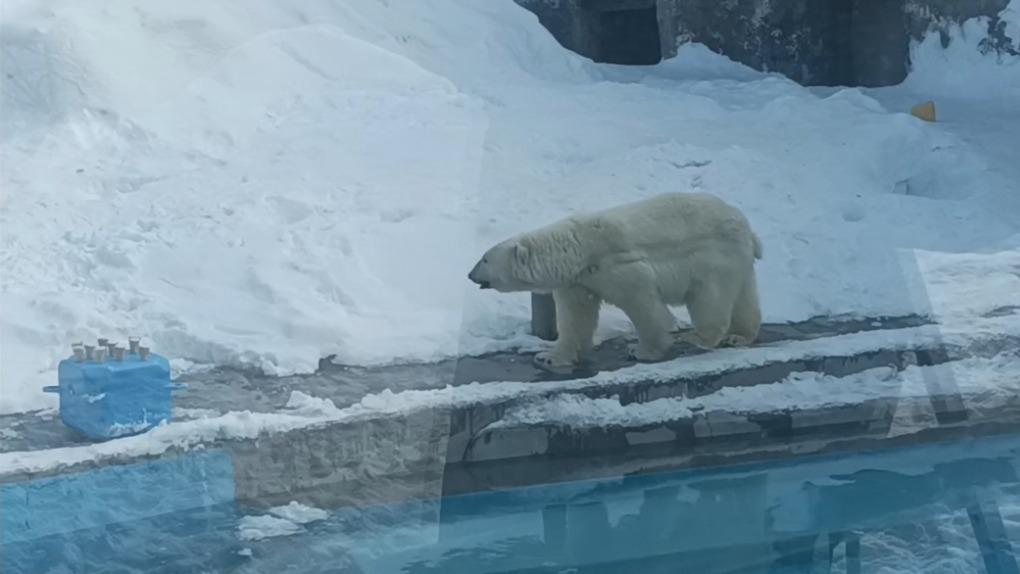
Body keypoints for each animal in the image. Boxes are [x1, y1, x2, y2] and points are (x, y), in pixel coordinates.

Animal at [467, 190, 762, 371]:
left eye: (484, 259)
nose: (469, 275)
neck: (577, 250)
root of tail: (746, 225)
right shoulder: (579, 280)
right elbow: (576, 317)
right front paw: (549, 356)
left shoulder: (618, 265)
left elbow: (642, 303)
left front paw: (642, 350)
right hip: (736, 258)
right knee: (743, 296)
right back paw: (738, 336)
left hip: (712, 255)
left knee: (709, 297)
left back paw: (697, 336)